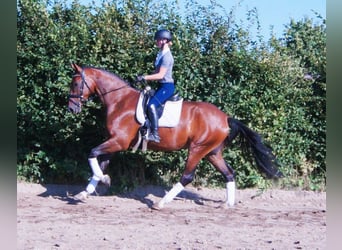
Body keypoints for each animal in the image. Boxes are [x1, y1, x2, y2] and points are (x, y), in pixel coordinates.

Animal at [68, 63, 282, 210]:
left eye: (76, 83)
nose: (71, 108)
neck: (120, 100)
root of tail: (225, 118)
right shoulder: (115, 142)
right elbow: (100, 161)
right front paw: (86, 191)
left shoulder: (118, 142)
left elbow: (92, 153)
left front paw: (102, 180)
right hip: (212, 152)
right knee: (229, 173)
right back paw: (227, 204)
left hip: (197, 148)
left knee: (187, 176)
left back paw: (161, 203)